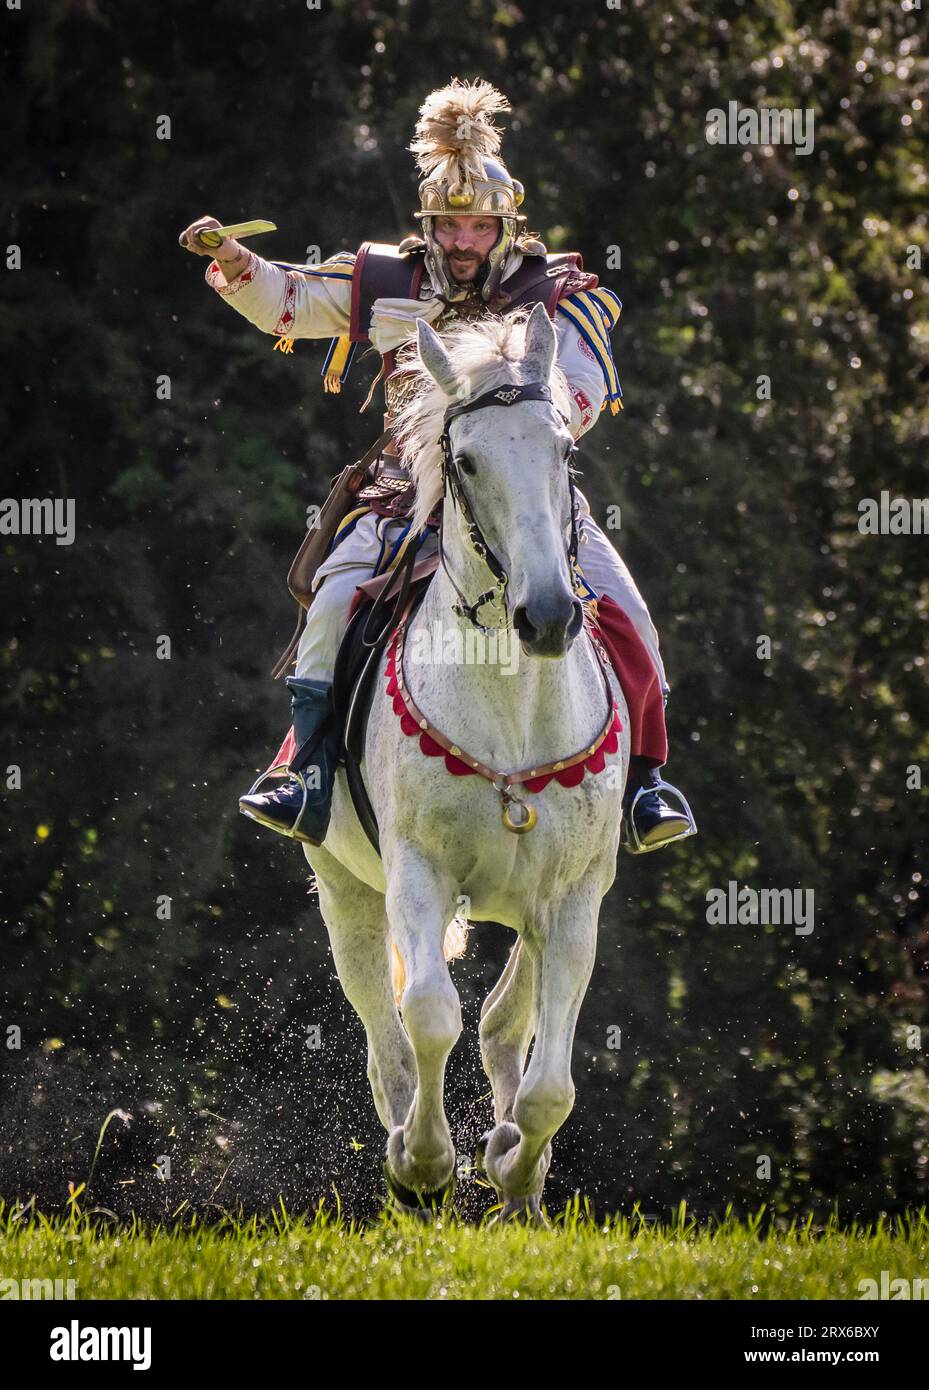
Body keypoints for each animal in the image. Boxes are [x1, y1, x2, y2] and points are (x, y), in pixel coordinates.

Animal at [304, 301, 631, 1217]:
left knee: (505, 1027)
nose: (548, 616)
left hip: (533, 906)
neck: (512, 703)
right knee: (385, 1034)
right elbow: (426, 1015)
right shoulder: (417, 872)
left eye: (562, 452)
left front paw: (514, 1163)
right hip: (345, 891)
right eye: (466, 459)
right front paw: (423, 1164)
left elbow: (550, 1082)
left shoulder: (575, 897)